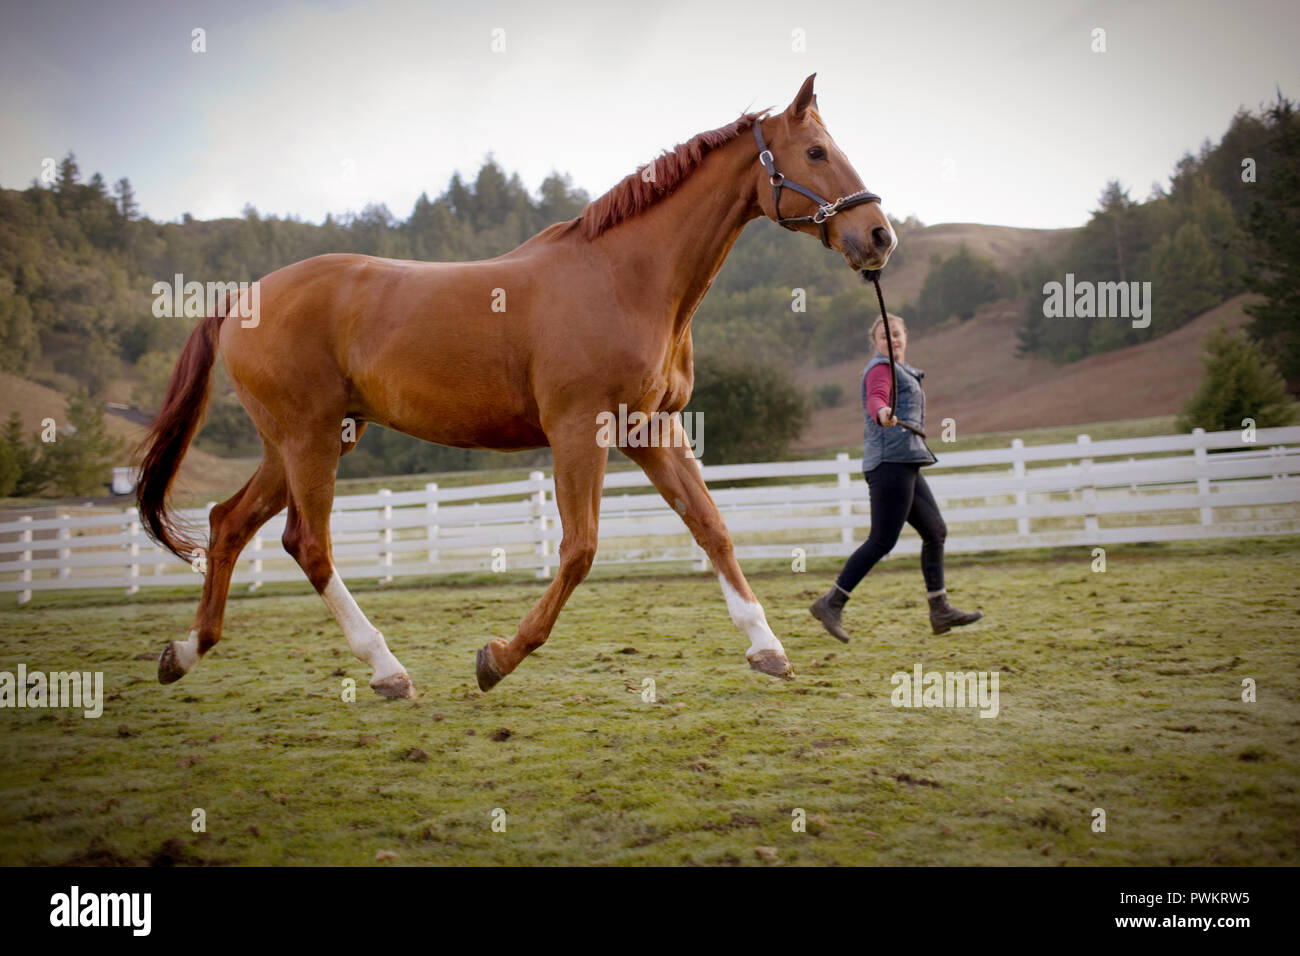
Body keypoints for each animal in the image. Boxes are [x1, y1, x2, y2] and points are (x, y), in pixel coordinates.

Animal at [136, 73, 897, 698]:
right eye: (817, 152)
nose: (879, 236)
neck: (626, 278)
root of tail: (239, 299)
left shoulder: (650, 429)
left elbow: (713, 528)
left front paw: (768, 649)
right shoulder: (578, 432)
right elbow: (580, 550)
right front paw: (498, 657)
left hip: (305, 442)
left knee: (229, 523)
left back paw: (185, 652)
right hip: (310, 439)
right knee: (308, 544)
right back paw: (387, 669)